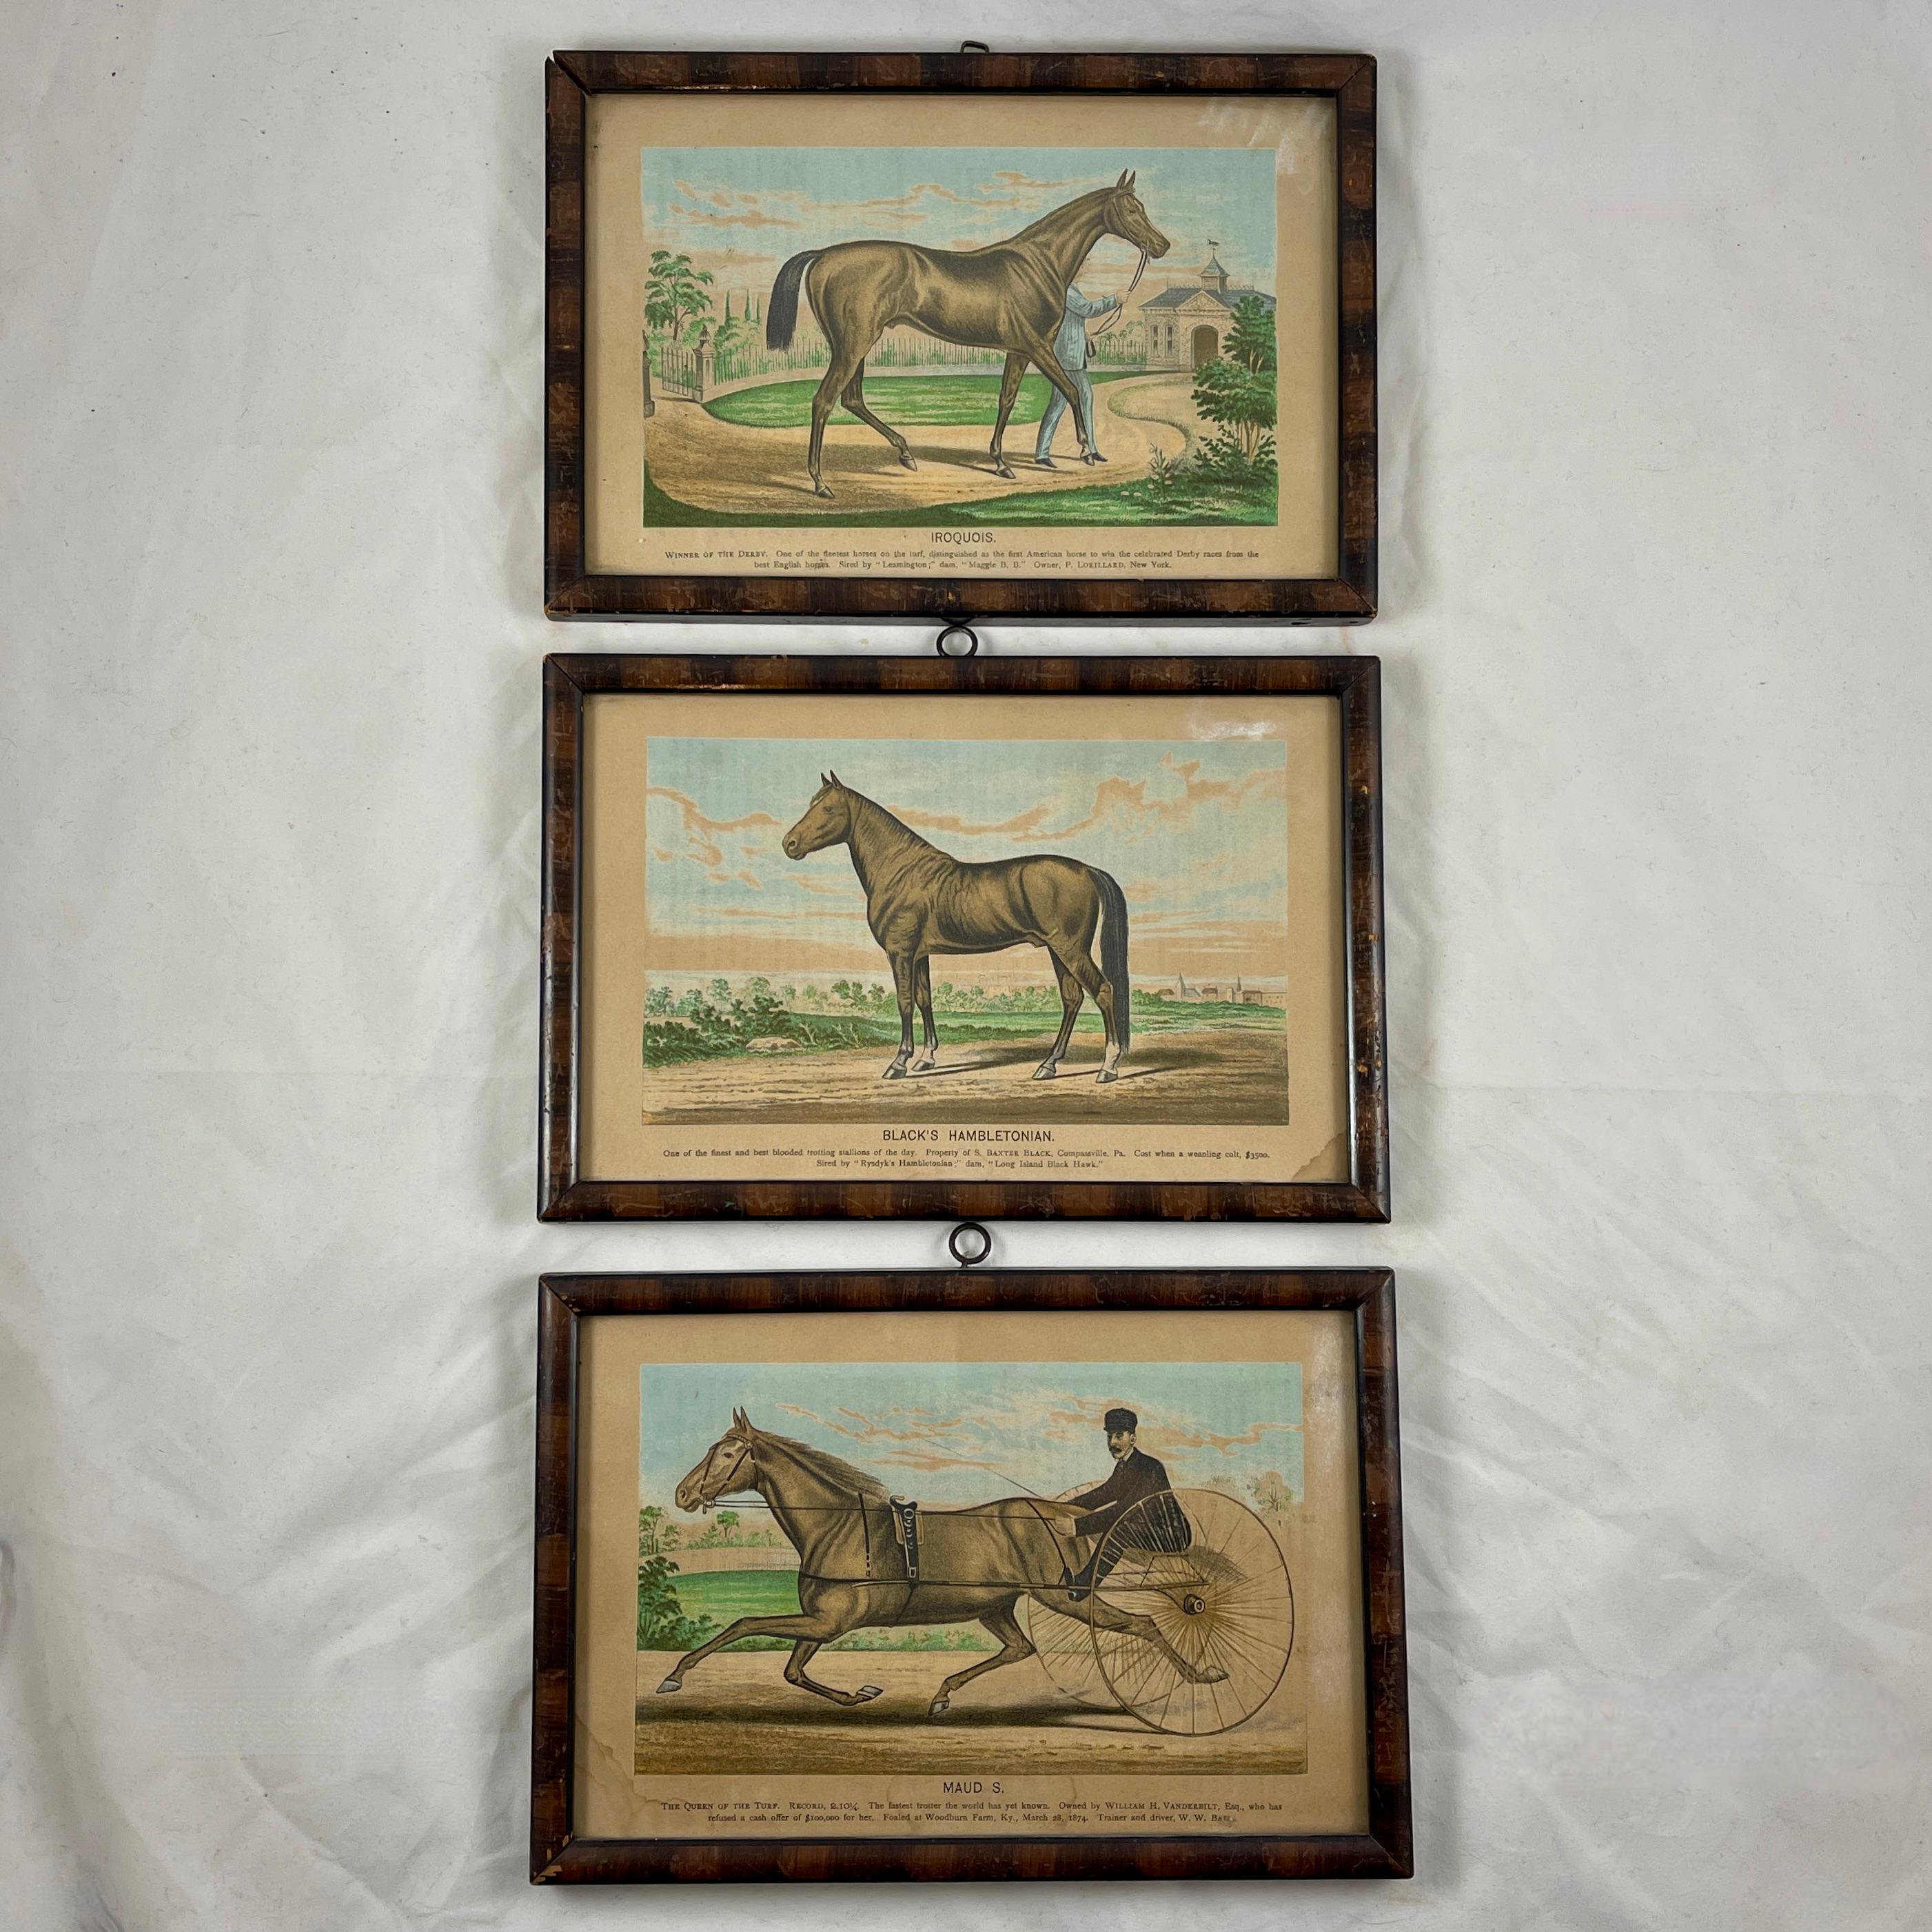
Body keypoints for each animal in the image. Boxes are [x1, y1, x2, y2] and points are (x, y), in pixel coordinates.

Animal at [764, 172, 1159, 498]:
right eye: (1131, 209)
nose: (1161, 246)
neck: (1037, 263)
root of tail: (824, 255)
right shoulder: (1038, 347)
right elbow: (1072, 390)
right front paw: (1085, 450)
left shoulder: (1018, 351)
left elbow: (1006, 400)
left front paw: (1001, 463)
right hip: (853, 345)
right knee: (824, 401)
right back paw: (820, 483)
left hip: (852, 346)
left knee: (852, 399)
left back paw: (905, 453)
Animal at [776, 776, 1128, 1081]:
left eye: (828, 809)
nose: (789, 844)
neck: (901, 871)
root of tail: (1087, 870)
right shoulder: (920, 955)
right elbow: (924, 999)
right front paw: (926, 1059)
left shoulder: (900, 952)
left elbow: (904, 1001)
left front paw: (899, 1063)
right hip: (1058, 951)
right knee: (1072, 999)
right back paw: (1048, 1065)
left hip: (1070, 949)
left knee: (1103, 990)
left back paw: (1107, 1067)